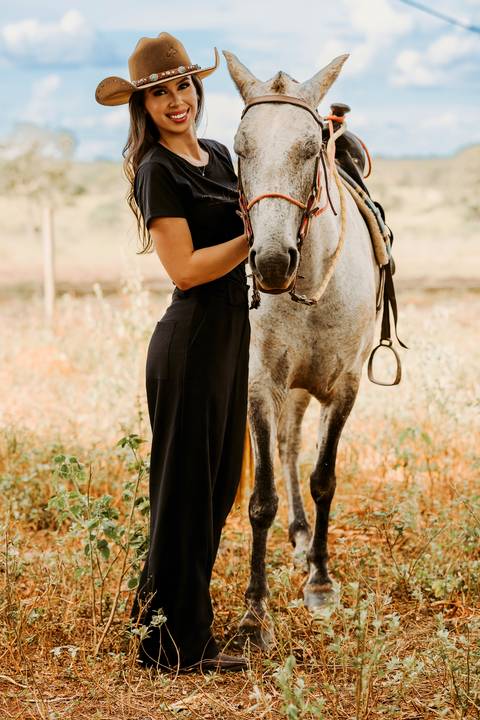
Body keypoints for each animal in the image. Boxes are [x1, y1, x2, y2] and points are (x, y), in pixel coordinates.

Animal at [223, 50, 381, 648]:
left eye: (312, 149)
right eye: (239, 149)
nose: (270, 262)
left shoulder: (345, 387)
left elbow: (324, 478)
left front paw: (320, 581)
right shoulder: (260, 384)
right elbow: (263, 497)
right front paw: (254, 612)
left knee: (298, 452)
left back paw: (305, 545)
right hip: (287, 388)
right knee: (287, 449)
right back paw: (295, 535)